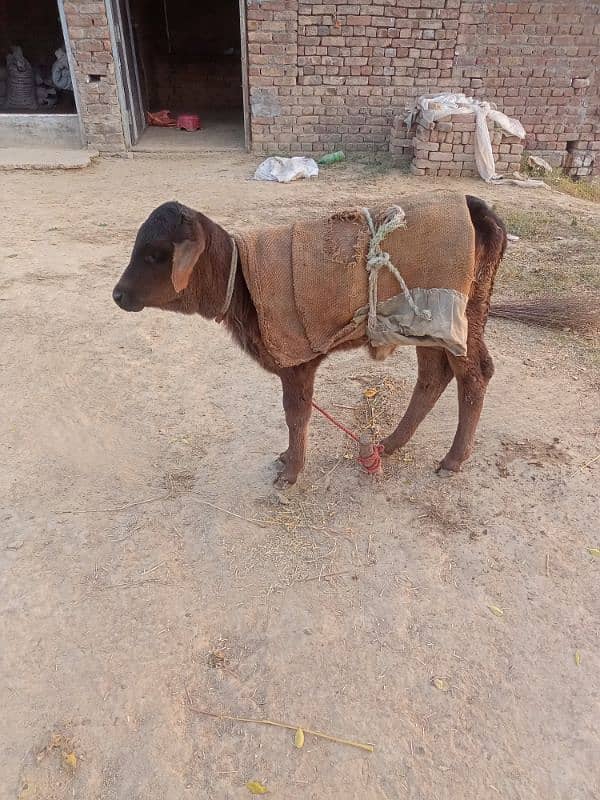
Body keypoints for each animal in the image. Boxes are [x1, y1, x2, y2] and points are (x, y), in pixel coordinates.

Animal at [113, 198, 506, 488]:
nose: (117, 294)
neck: (241, 282)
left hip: (459, 320)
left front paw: (291, 471)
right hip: (430, 327)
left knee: (475, 375)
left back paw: (452, 459)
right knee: (433, 376)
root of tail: (474, 205)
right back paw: (391, 443)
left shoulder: (297, 363)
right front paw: (289, 460)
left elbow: (296, 414)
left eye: (154, 255)